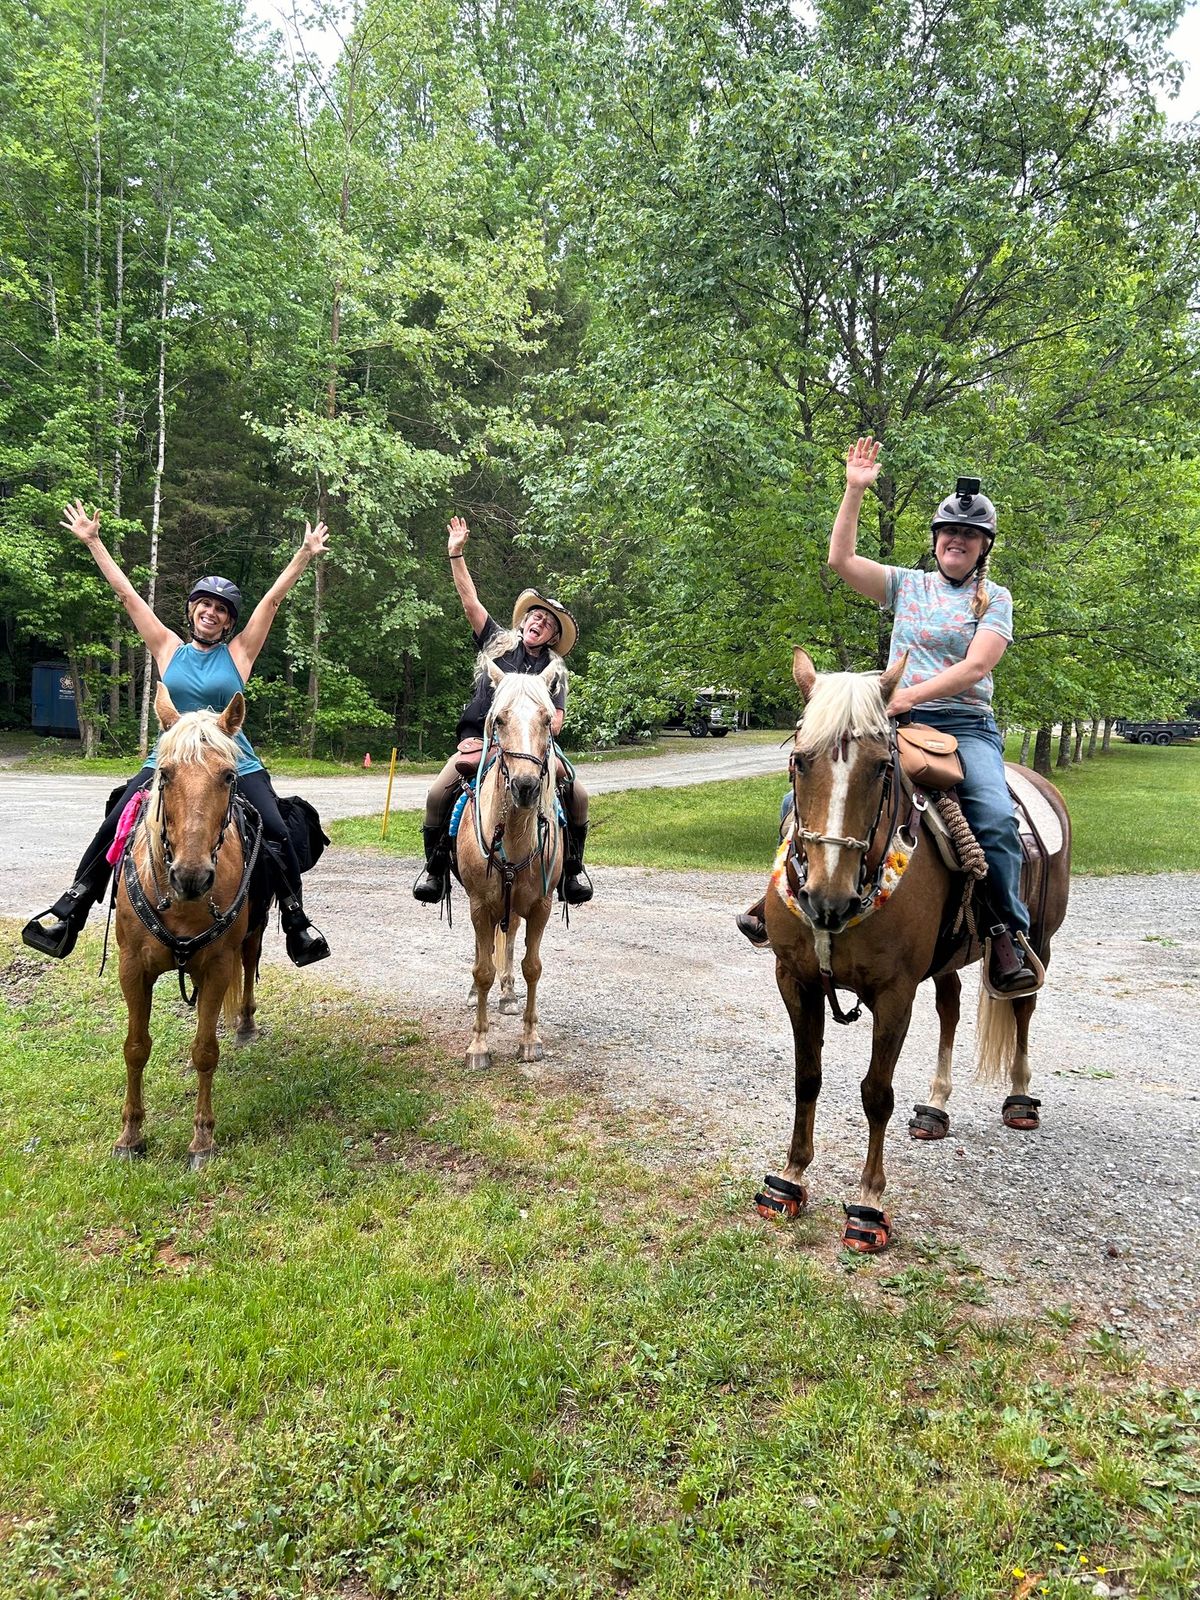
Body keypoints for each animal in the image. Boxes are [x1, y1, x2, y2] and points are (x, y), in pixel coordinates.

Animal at [112, 684, 267, 1164]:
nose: (191, 876)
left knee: (249, 965)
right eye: (164, 774)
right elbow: (135, 1048)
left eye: (229, 777)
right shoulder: (132, 968)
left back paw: (245, 1024)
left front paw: (202, 1138)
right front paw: (130, 1135)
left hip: (252, 935)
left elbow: (205, 1051)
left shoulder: (217, 966)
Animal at [457, 662, 566, 1075]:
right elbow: (482, 968)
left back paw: (507, 995)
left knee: (509, 939)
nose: (525, 786)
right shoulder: (479, 904)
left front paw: (530, 1041)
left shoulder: (540, 906)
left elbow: (532, 966)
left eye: (547, 719)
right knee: (483, 950)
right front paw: (478, 1046)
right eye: (499, 720)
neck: (516, 833)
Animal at [755, 646, 1075, 1248]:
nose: (826, 898)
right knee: (950, 1010)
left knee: (1022, 1006)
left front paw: (867, 1205)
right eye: (801, 760)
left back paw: (1021, 1098)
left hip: (1039, 942)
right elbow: (807, 1076)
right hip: (947, 961)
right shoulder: (796, 980)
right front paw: (789, 1180)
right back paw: (935, 1105)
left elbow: (876, 1092)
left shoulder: (894, 993)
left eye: (884, 767)